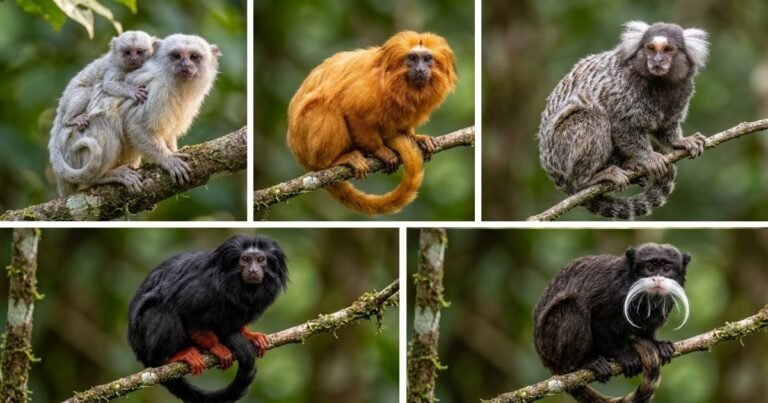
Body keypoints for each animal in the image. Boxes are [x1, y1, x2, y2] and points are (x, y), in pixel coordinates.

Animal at [49, 34, 220, 196]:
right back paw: (100, 177)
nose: (185, 65)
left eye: (194, 57)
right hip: (74, 151)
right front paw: (167, 159)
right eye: (176, 56)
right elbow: (135, 126)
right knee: (104, 122)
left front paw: (172, 150)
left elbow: (167, 134)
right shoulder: (155, 92)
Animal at [128, 234, 288, 403]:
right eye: (245, 259)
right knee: (160, 307)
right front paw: (215, 346)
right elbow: (189, 313)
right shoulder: (202, 287)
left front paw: (249, 334)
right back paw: (172, 356)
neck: (235, 284)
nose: (253, 270)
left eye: (260, 260)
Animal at [287, 31, 457, 215]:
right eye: (412, 58)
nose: (420, 69)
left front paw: (416, 137)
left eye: (427, 59)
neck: (399, 81)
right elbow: (353, 110)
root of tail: (298, 152)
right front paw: (379, 150)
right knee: (325, 105)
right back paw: (334, 160)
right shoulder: (370, 85)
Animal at [533, 243, 691, 403]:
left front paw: (656, 344)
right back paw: (581, 363)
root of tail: (544, 357)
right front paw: (624, 356)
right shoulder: (613, 291)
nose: (658, 279)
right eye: (650, 268)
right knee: (572, 305)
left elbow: (646, 330)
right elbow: (599, 323)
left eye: (667, 269)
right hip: (550, 342)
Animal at [538, 21, 710, 219]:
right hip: (560, 148)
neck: (660, 84)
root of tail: (551, 170)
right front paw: (649, 157)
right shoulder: (621, 90)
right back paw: (589, 179)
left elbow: (665, 127)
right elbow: (621, 126)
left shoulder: (683, 91)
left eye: (668, 49)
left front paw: (680, 142)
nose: (657, 60)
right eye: (650, 48)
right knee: (594, 117)